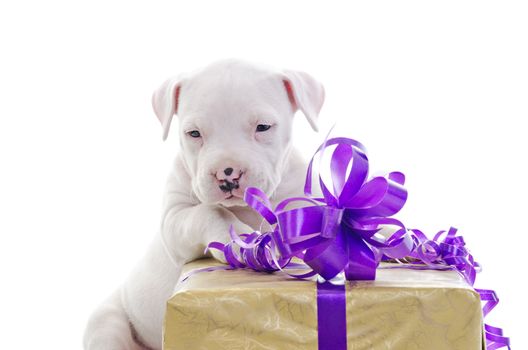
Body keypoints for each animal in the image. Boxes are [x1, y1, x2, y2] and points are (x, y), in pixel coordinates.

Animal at [82, 60, 324, 350]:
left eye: (263, 127)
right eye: (194, 133)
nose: (227, 174)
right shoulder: (174, 220)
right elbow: (208, 212)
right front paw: (241, 241)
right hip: (107, 322)